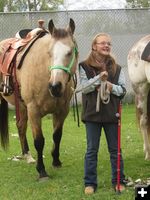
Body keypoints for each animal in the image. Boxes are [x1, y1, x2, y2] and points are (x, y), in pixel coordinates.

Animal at [0, 18, 79, 180]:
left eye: (69, 52)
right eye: (49, 53)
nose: (55, 86)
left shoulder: (62, 110)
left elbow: (57, 136)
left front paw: (56, 161)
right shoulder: (33, 110)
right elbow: (39, 141)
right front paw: (42, 171)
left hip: (21, 106)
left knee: (21, 126)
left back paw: (28, 156)